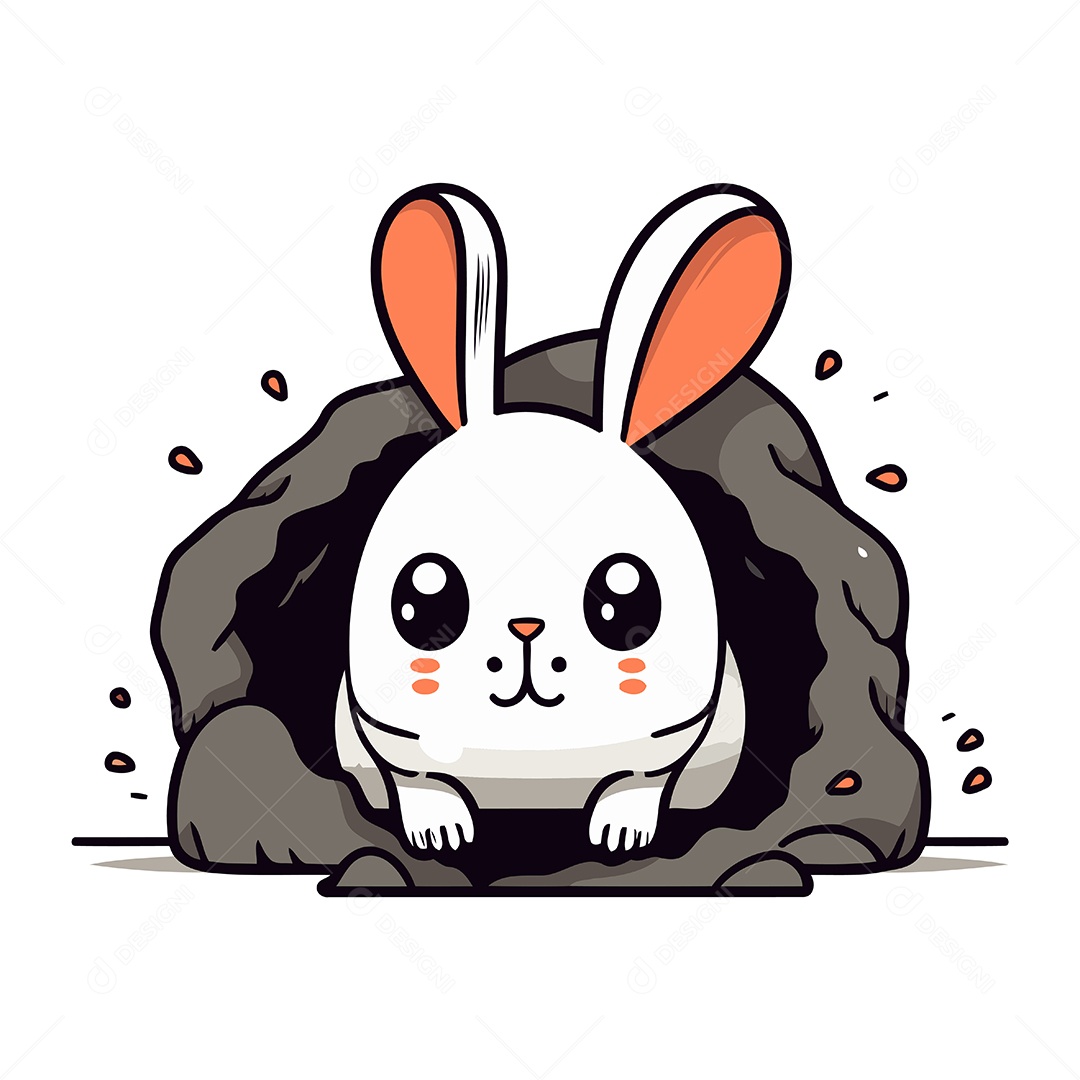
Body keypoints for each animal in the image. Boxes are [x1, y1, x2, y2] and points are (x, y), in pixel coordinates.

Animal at [345, 182, 787, 856]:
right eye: (421, 601)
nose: (526, 628)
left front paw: (621, 834)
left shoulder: (662, 749)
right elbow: (419, 779)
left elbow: (638, 781)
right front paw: (440, 834)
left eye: (626, 601)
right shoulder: (393, 743)